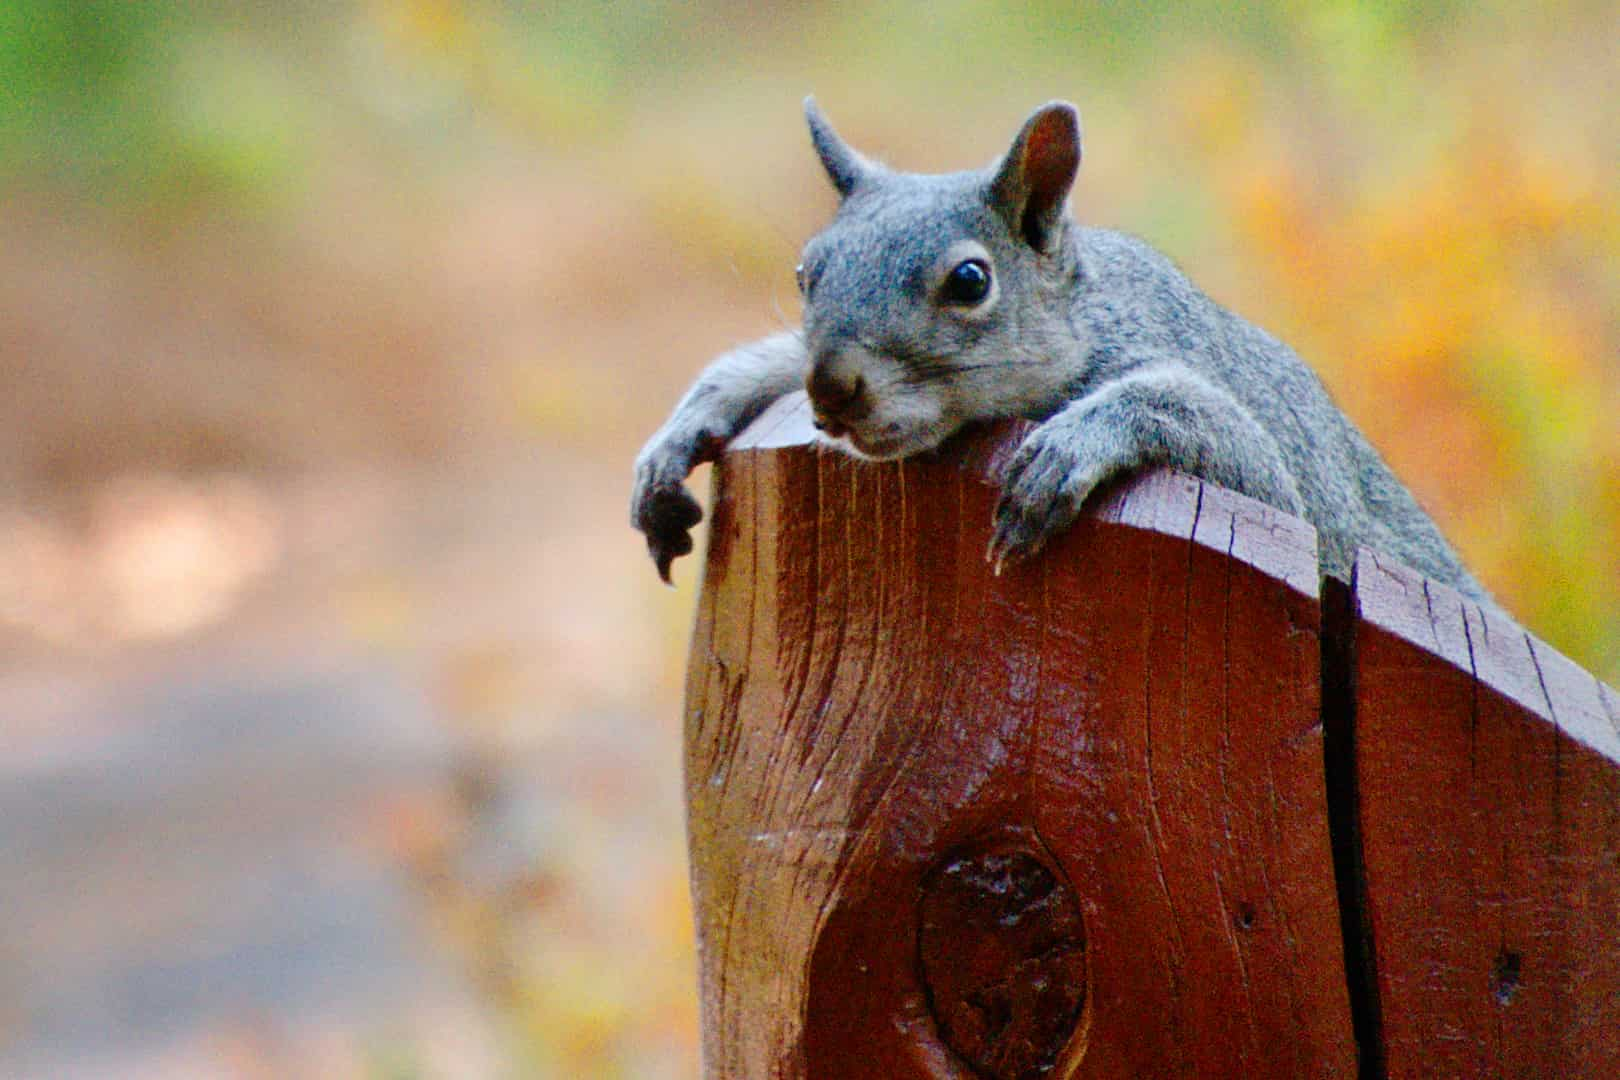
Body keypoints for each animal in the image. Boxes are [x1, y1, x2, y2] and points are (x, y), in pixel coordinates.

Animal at [628, 97, 1490, 608]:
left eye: (970, 280)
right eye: (806, 272)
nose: (831, 389)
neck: (1085, 319)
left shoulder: (1283, 500)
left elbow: (1224, 440)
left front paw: (1068, 448)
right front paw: (681, 433)